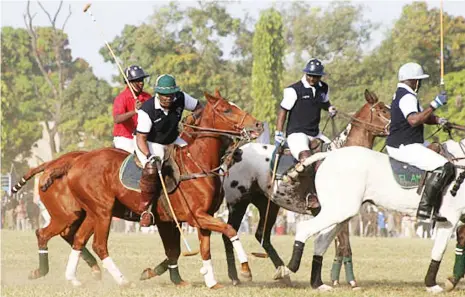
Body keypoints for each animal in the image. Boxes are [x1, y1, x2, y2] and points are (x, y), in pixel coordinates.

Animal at [286, 138, 464, 292]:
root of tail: (329, 155)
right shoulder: (450, 218)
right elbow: (439, 249)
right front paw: (432, 284)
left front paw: (450, 281)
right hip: (341, 209)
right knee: (305, 228)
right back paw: (288, 269)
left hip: (340, 212)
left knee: (320, 241)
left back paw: (318, 284)